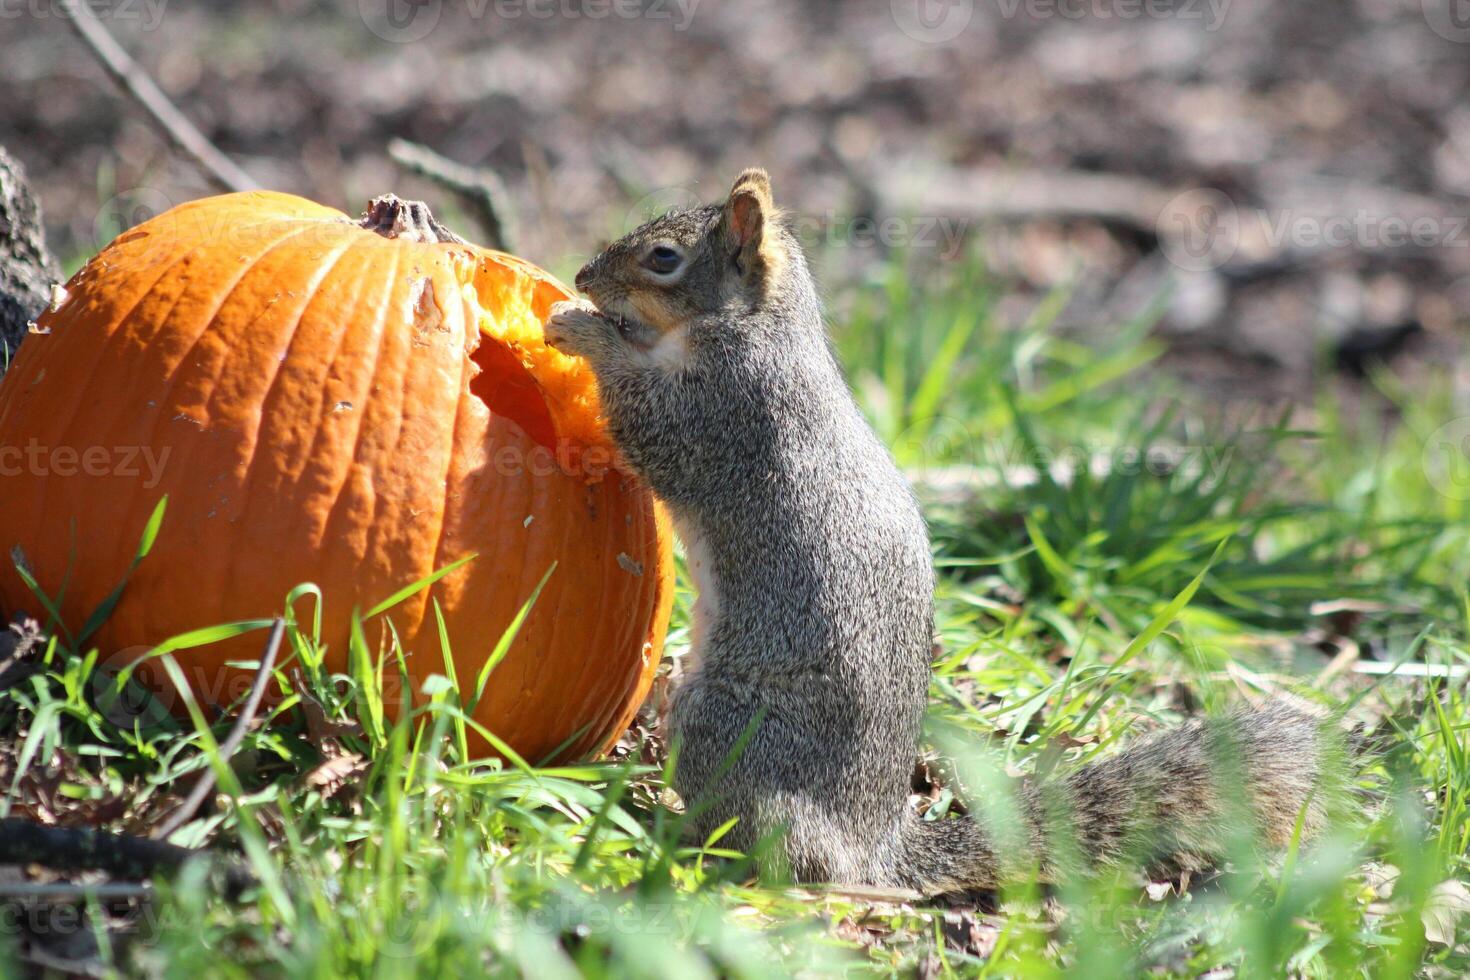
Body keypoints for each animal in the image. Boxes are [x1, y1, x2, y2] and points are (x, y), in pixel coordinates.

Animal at [546, 170, 1340, 899]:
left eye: (664, 258)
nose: (583, 276)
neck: (761, 328)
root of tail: (872, 847)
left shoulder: (723, 414)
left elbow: (651, 423)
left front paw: (584, 328)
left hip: (727, 723)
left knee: (785, 857)